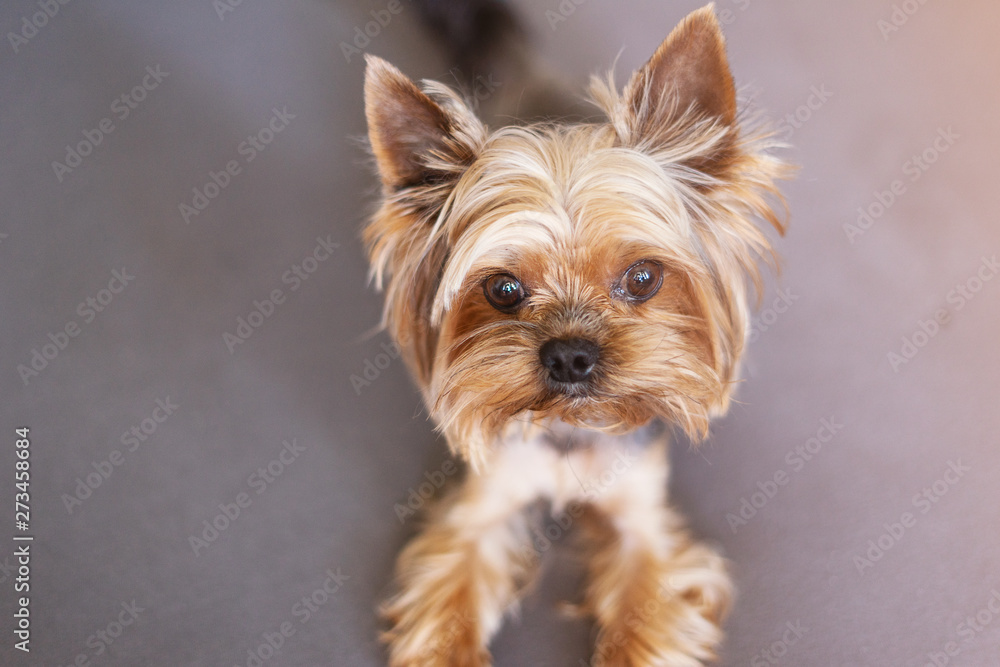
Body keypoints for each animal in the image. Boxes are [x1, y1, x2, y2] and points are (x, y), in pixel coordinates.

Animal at [360, 3, 788, 664]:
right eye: (502, 289)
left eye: (643, 278)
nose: (570, 356)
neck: (570, 428)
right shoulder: (480, 505)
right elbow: (452, 590)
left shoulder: (643, 522)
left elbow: (644, 617)